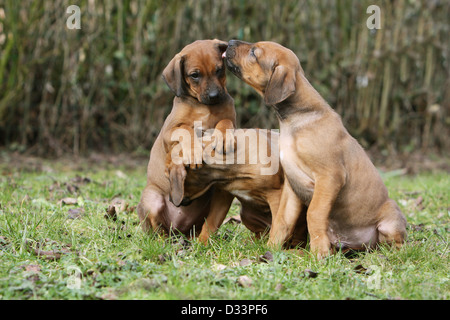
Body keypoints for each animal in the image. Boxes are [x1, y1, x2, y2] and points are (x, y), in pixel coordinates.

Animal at [137, 38, 236, 236]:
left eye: (219, 69)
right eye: (195, 75)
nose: (214, 96)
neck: (204, 107)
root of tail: (178, 228)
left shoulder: (234, 122)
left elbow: (226, 121)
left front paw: (224, 136)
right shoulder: (169, 131)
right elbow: (186, 130)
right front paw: (192, 151)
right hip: (152, 200)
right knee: (157, 231)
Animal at [225, 40, 408, 258]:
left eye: (254, 52)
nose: (229, 42)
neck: (297, 119)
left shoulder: (329, 177)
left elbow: (314, 213)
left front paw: (318, 253)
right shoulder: (292, 185)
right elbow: (282, 220)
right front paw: (271, 248)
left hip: (390, 220)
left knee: (397, 243)